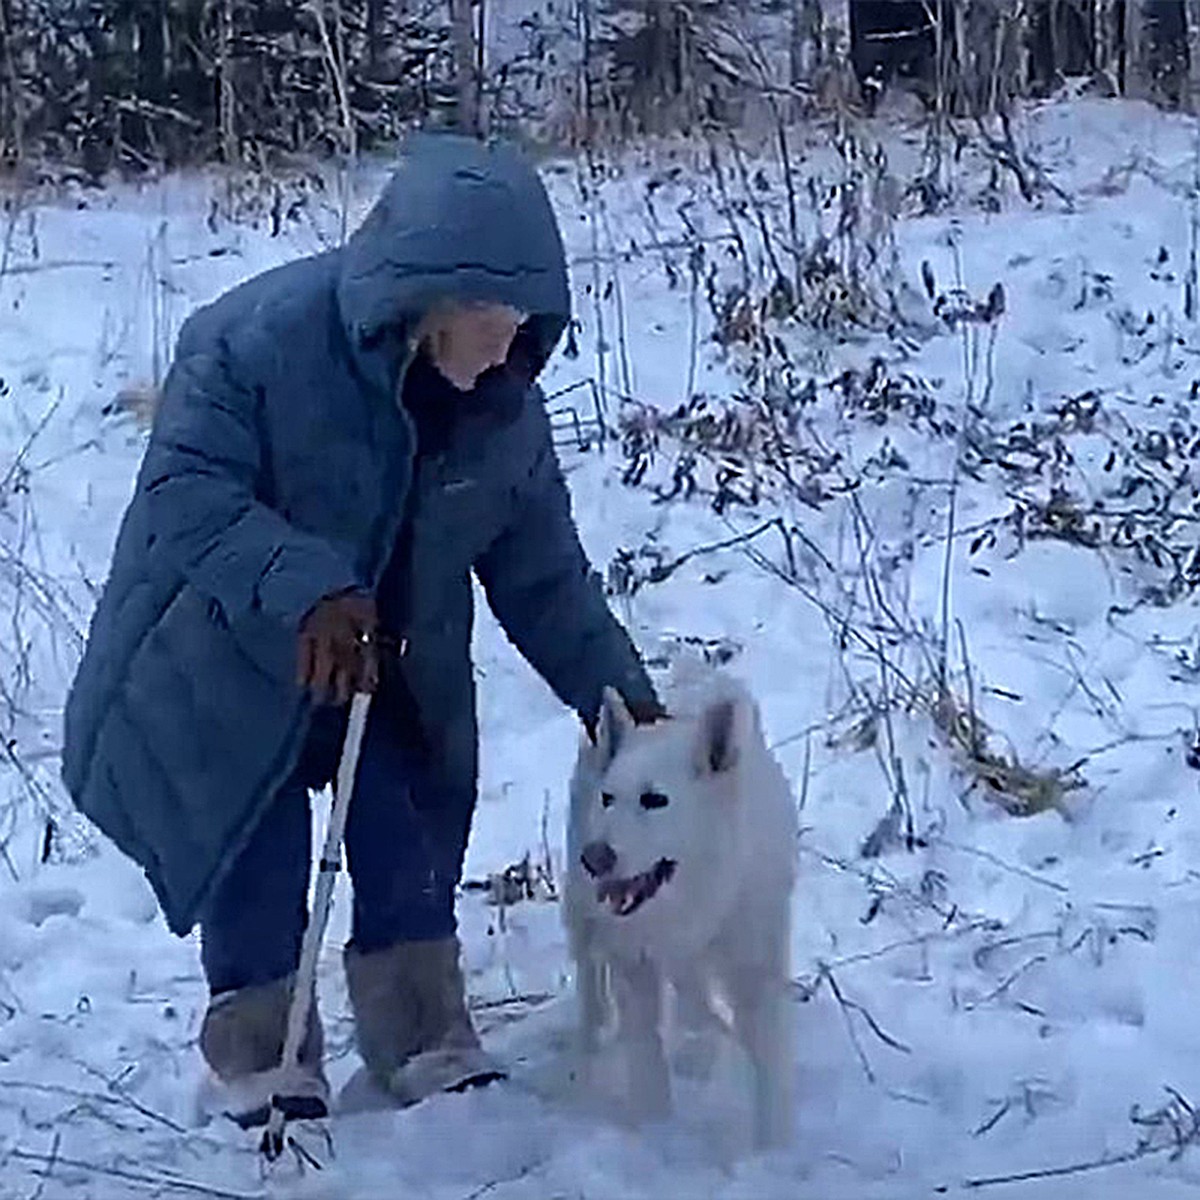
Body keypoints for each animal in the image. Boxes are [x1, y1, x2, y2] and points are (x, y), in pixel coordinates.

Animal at [561, 672, 796, 1147]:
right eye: (608, 798)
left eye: (655, 800)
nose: (594, 858)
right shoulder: (632, 962)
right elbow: (645, 1048)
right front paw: (653, 1128)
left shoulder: (754, 962)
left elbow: (767, 1056)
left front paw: (773, 1146)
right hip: (582, 915)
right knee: (591, 987)